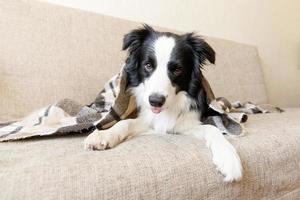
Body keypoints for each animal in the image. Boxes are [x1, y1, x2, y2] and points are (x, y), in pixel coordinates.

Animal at [83, 24, 243, 182]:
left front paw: (228, 158)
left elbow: (212, 128)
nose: (155, 101)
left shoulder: (186, 124)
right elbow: (125, 122)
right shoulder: (150, 120)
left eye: (177, 69)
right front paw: (103, 135)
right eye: (148, 65)